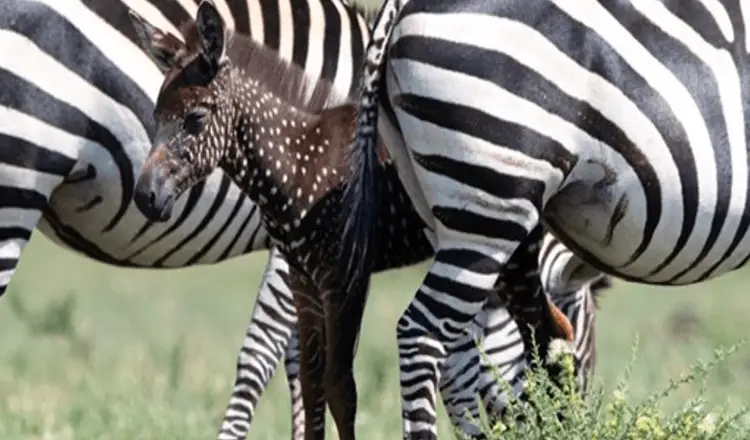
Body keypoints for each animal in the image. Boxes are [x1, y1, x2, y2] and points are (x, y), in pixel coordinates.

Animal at [342, 0, 750, 438]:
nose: (570, 417)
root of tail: (403, 6)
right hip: (492, 197)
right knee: (423, 335)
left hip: (450, 207)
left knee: (464, 348)